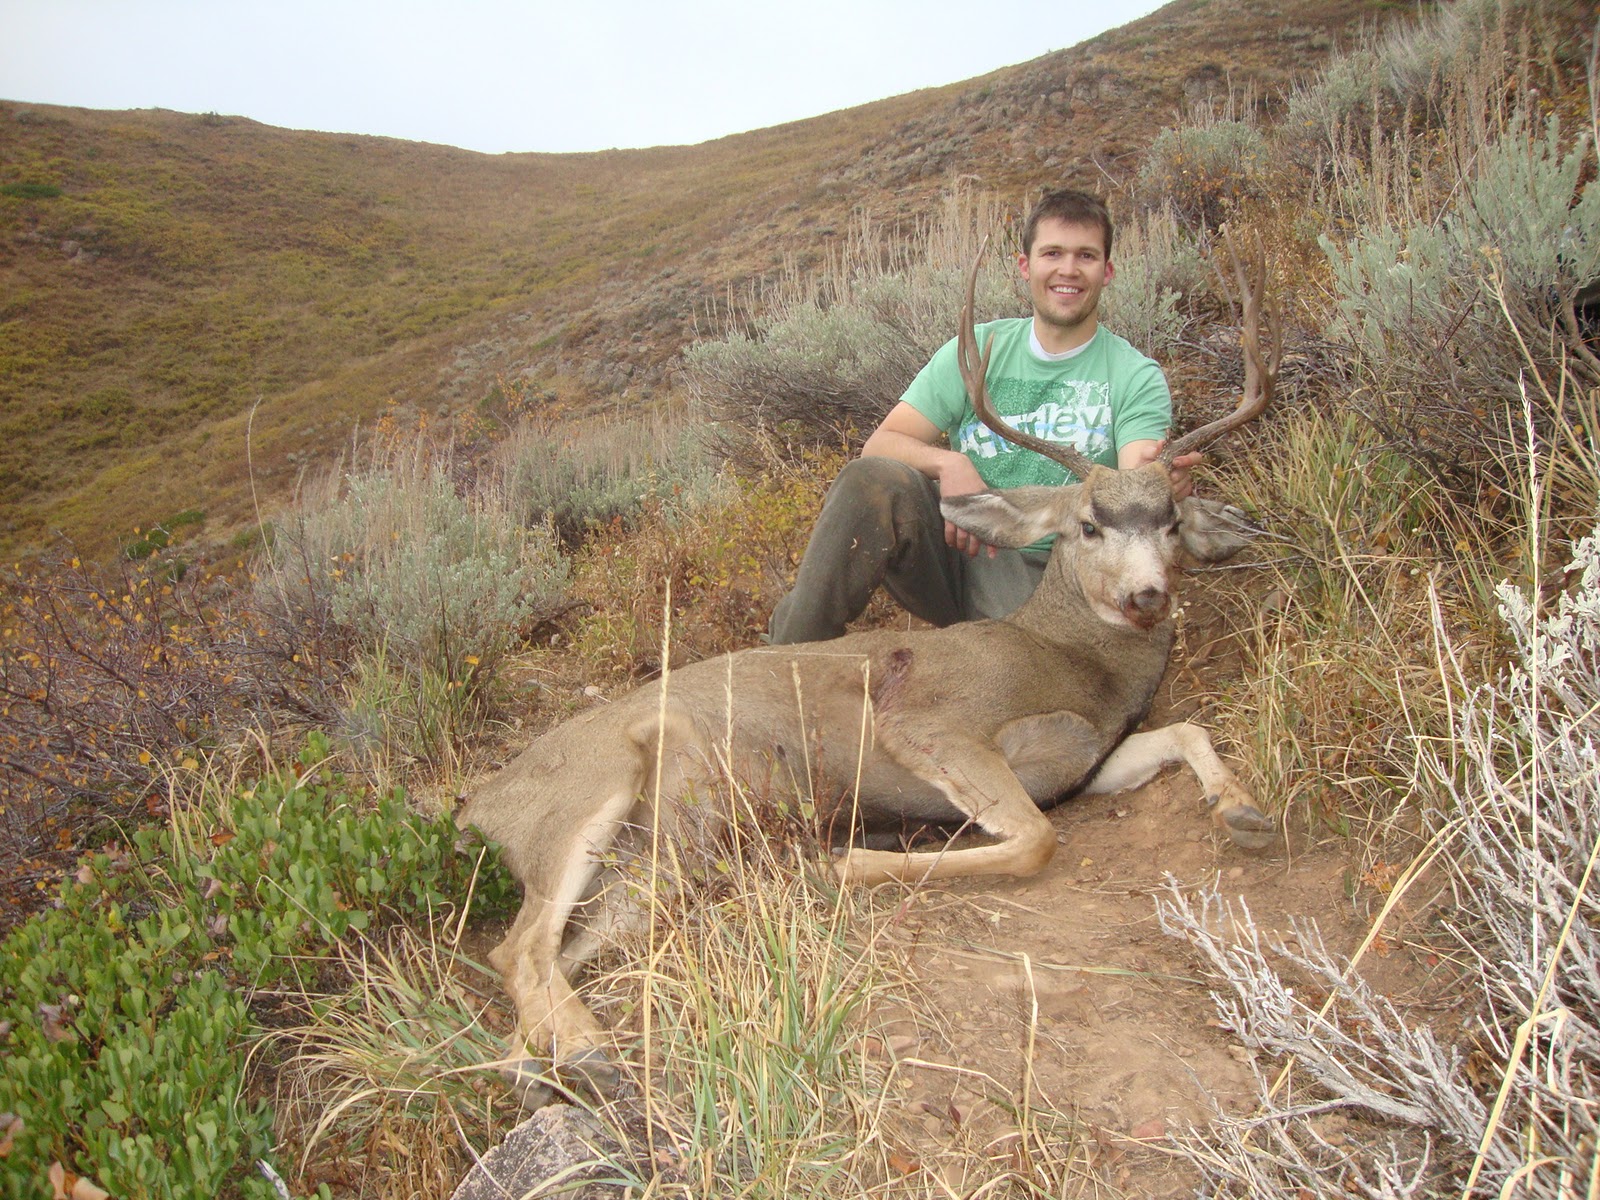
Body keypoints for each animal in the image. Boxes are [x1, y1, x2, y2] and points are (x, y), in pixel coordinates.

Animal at [461, 226, 1283, 1108]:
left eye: (1170, 522)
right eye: (1088, 525)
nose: (1146, 595)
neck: (1068, 662)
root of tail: (480, 804)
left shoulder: (1091, 763)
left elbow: (1184, 731)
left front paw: (1244, 810)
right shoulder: (932, 722)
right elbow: (1034, 839)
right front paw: (848, 862)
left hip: (658, 861)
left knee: (544, 964)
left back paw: (545, 1068)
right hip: (595, 789)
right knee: (515, 947)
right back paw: (589, 1055)